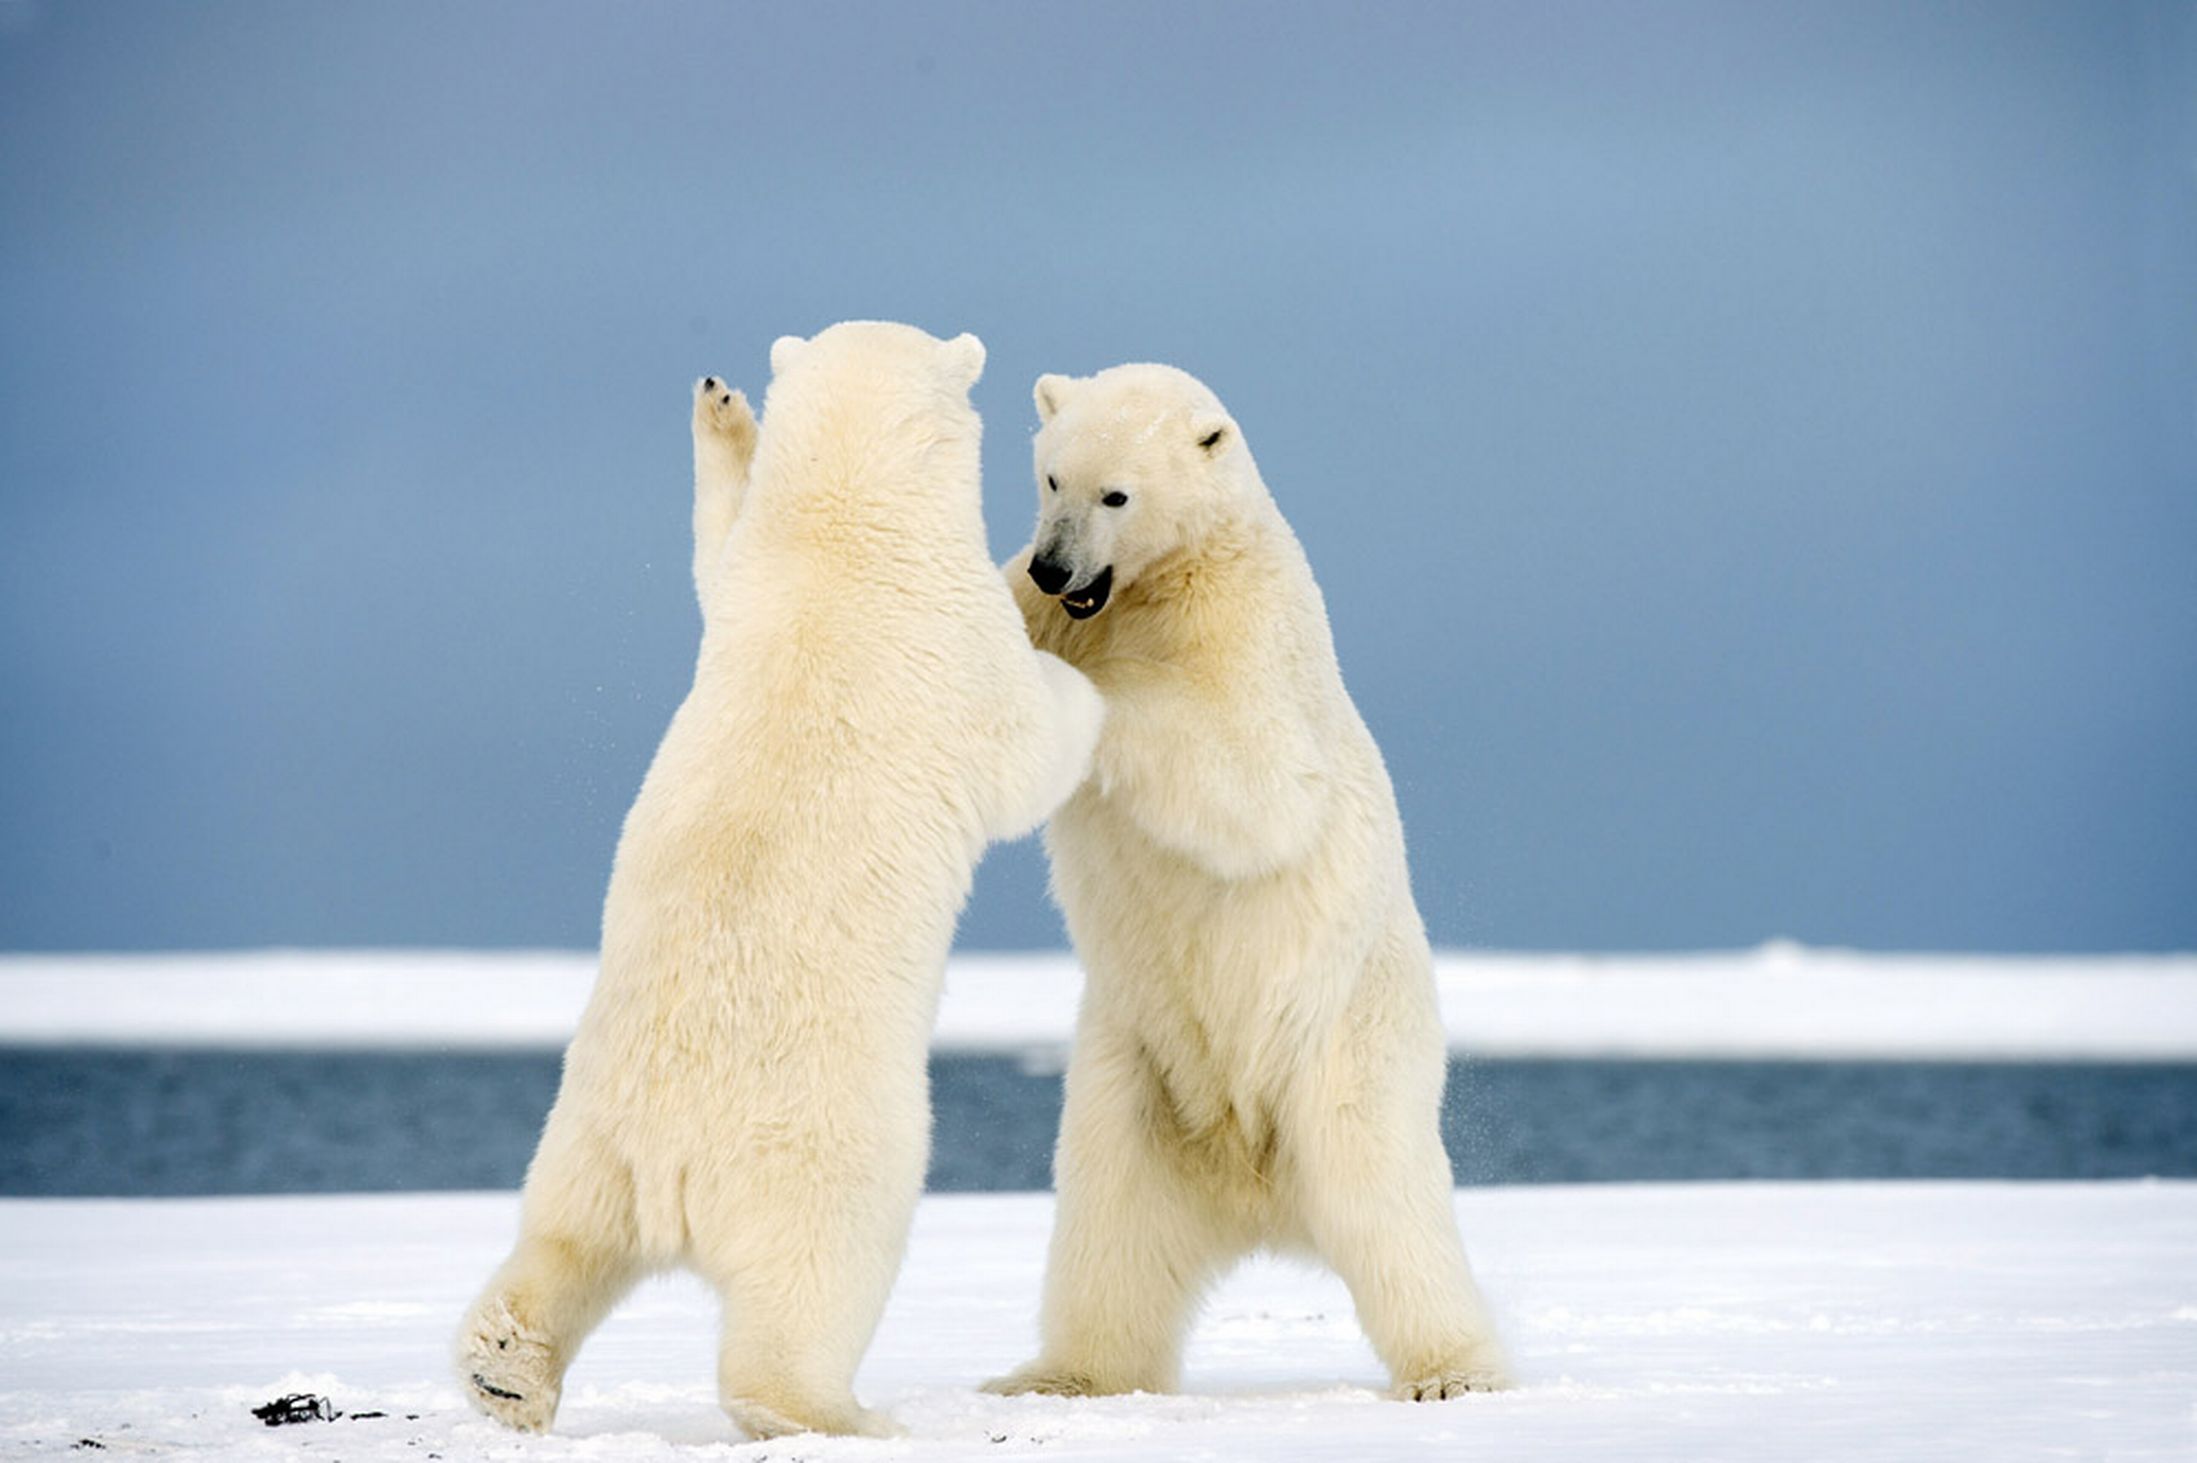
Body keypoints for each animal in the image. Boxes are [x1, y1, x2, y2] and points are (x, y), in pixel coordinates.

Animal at [463, 322, 1116, 1432]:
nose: (718, 388)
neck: (846, 539)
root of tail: (673, 1163)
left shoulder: (748, 584)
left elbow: (711, 548)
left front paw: (722, 409)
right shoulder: (950, 647)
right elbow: (1028, 748)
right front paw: (1084, 678)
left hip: (584, 1134)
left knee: (562, 1241)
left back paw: (503, 1367)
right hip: (826, 1145)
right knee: (817, 1274)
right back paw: (834, 1411)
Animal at [993, 364, 1520, 1405]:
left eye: (1117, 494)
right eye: (1050, 477)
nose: (1052, 568)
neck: (1159, 583)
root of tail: (1252, 1192)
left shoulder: (1247, 633)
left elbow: (1253, 780)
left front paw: (1101, 704)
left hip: (1341, 1053)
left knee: (1387, 1205)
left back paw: (1452, 1371)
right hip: (1133, 1078)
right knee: (1105, 1229)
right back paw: (1059, 1374)